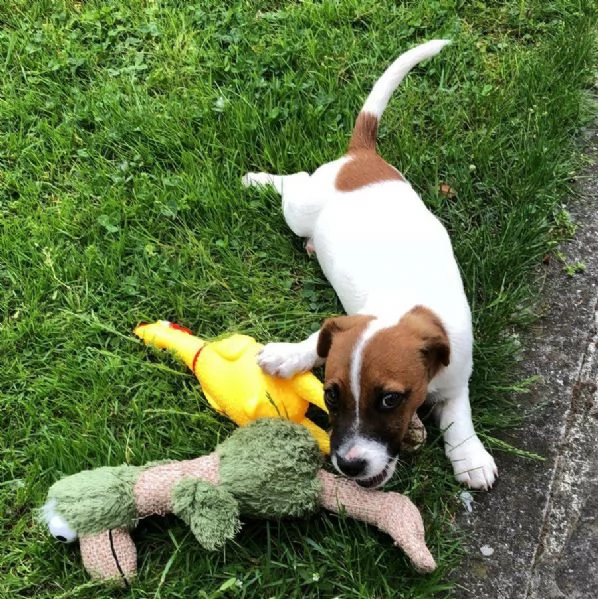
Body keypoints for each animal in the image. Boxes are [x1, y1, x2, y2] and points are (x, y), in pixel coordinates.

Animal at [241, 38, 500, 492]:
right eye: (331, 394)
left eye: (390, 400)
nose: (349, 465)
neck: (407, 305)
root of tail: (360, 157)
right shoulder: (352, 321)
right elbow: (318, 338)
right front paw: (290, 355)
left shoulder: (457, 378)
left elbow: (458, 416)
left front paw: (470, 457)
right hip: (300, 208)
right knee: (295, 179)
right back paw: (258, 180)